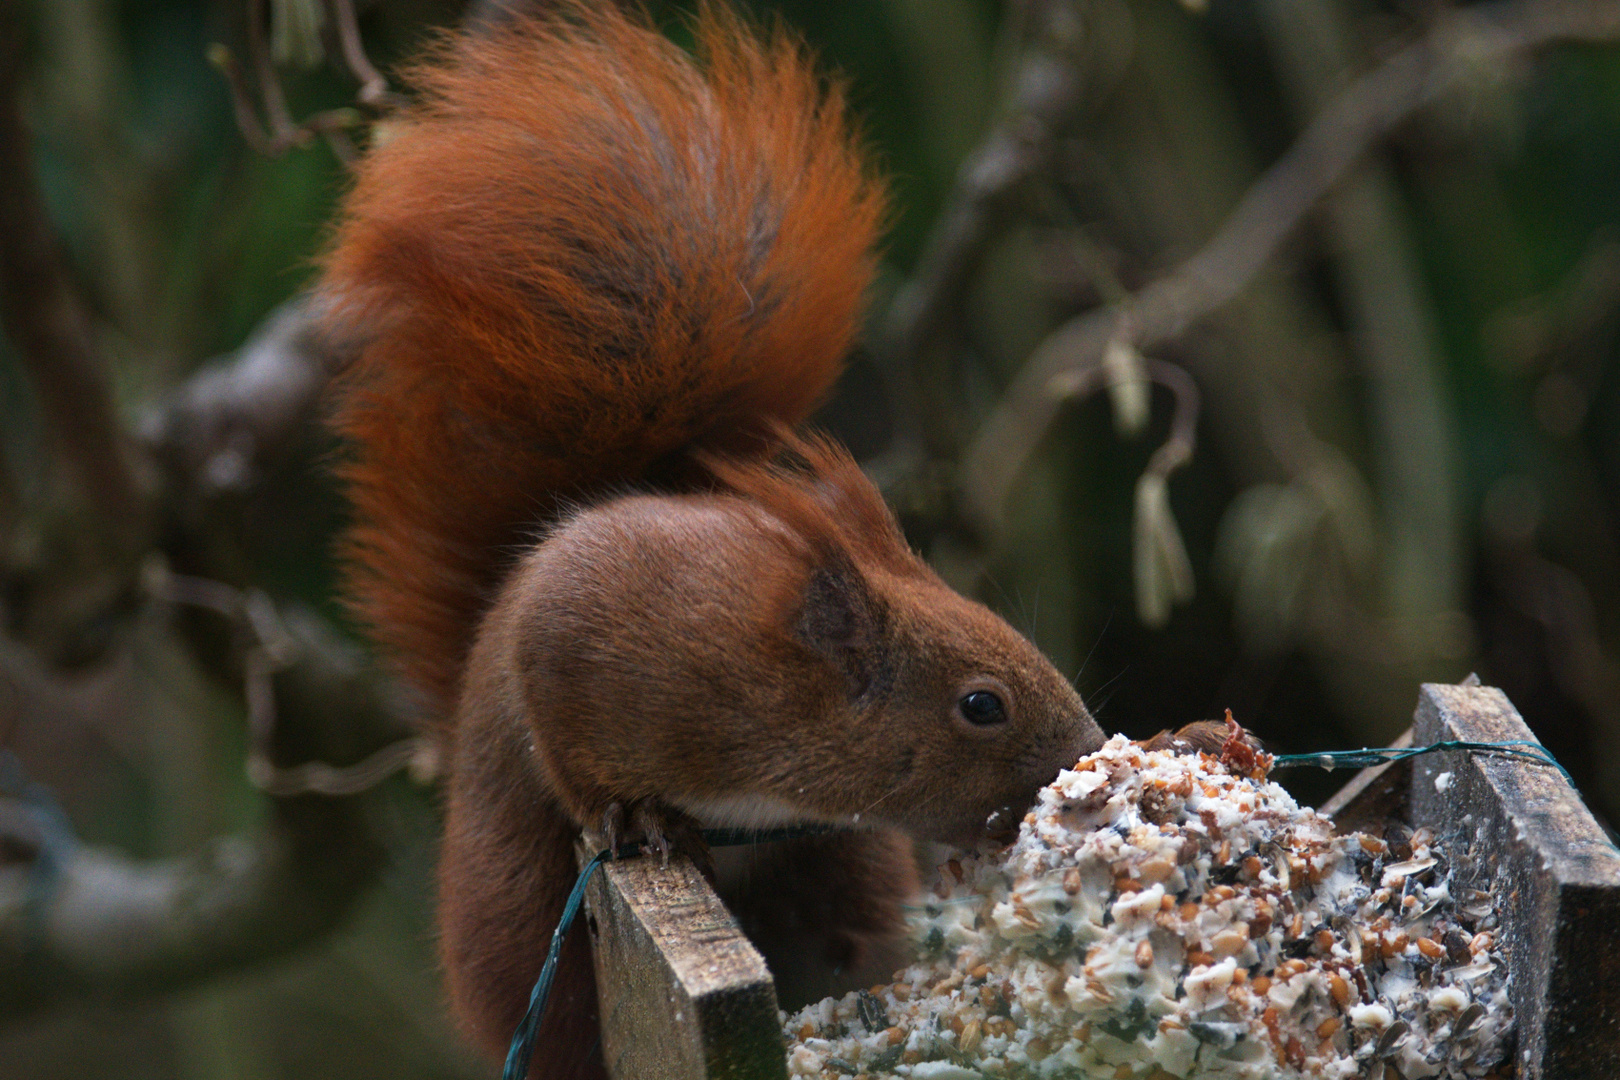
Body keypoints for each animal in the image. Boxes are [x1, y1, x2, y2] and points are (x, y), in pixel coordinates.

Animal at [315, 4, 1101, 1075]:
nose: (1091, 756)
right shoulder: (581, 640)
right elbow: (574, 749)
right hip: (519, 914)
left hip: (841, 863)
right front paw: (632, 815)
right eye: (982, 706)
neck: (770, 702)